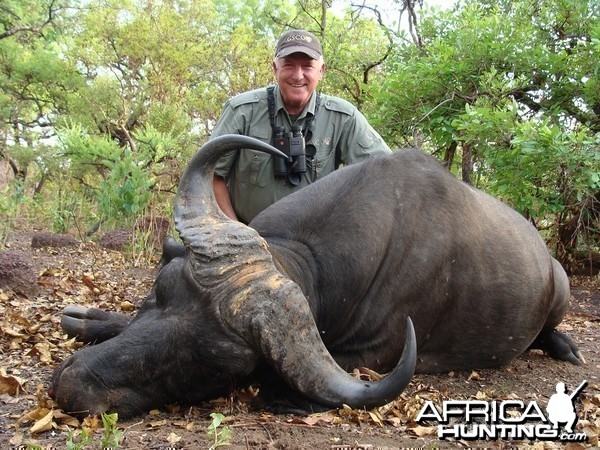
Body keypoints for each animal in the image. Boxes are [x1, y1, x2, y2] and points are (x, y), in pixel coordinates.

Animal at [49, 134, 584, 418]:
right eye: (159, 293)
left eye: (213, 364)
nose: (72, 384)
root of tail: (549, 264)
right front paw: (86, 319)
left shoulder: (369, 358)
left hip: (560, 293)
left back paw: (566, 347)